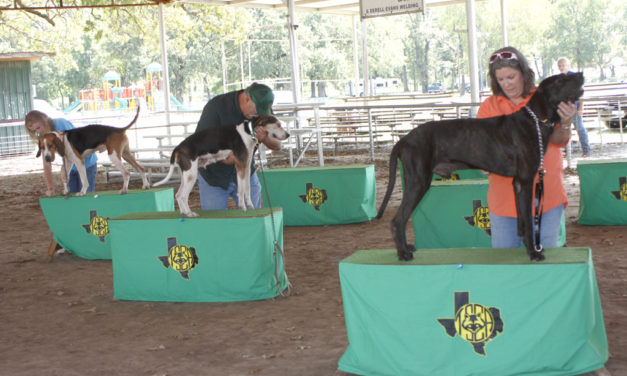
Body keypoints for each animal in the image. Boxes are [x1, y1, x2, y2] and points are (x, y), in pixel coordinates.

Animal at [152, 113, 290, 216]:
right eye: (278, 125)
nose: (288, 135)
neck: (249, 131)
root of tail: (178, 147)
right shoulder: (240, 166)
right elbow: (241, 190)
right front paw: (243, 207)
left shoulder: (245, 167)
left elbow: (247, 189)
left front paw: (251, 206)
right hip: (191, 174)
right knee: (182, 195)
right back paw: (189, 213)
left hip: (186, 175)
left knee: (178, 194)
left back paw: (183, 212)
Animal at [376, 72, 588, 262]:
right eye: (560, 80)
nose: (581, 73)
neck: (535, 119)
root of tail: (403, 140)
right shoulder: (526, 181)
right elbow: (528, 221)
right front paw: (533, 253)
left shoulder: (517, 184)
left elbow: (521, 220)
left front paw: (528, 246)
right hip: (418, 182)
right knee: (398, 220)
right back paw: (403, 253)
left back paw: (406, 248)